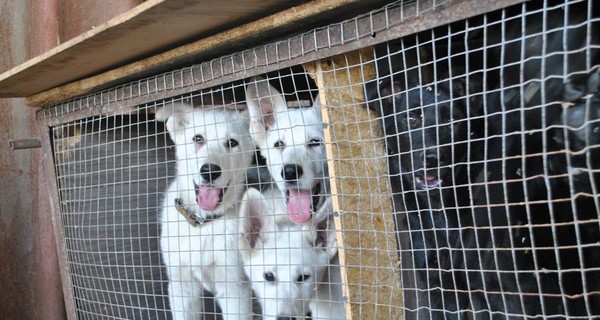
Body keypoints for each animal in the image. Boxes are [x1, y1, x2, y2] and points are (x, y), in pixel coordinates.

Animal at [157, 103, 253, 320]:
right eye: (198, 138)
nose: (210, 171)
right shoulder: (181, 287)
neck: (203, 222)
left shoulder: (235, 290)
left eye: (232, 142)